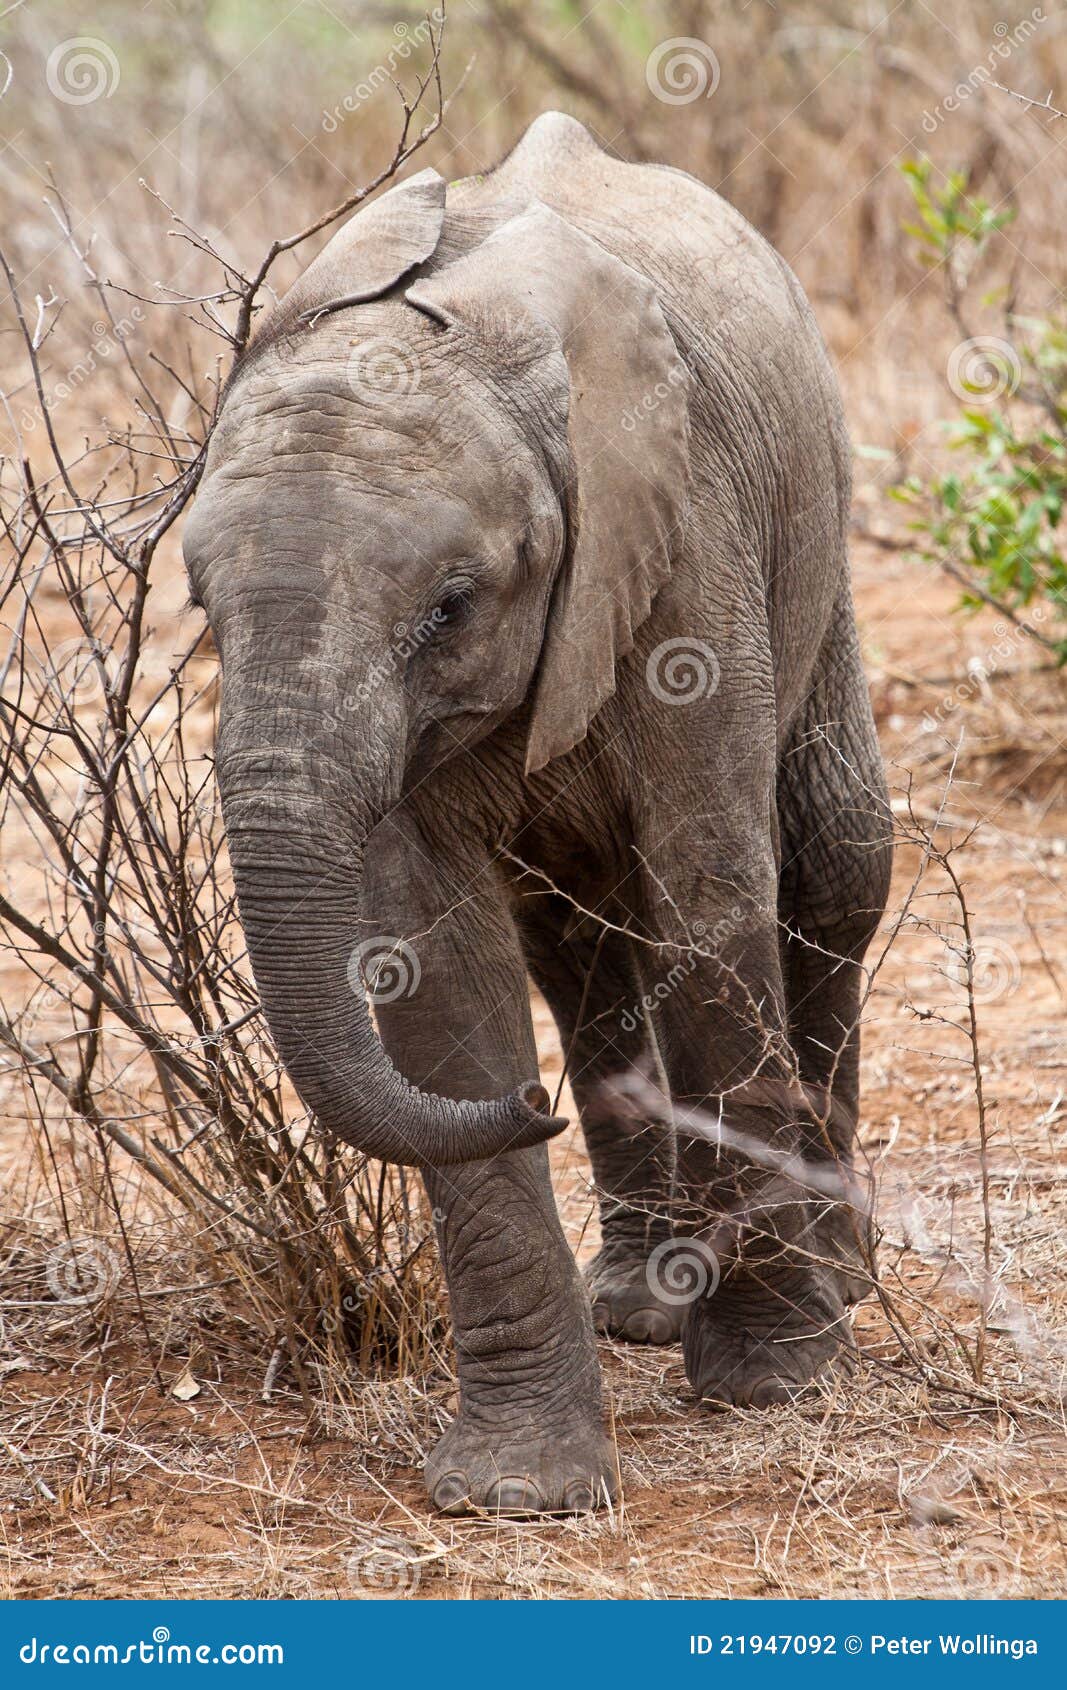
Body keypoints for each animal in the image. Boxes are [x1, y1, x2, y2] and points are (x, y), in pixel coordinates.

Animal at [182, 112, 893, 1517]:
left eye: (451, 605)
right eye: (198, 607)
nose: (539, 1108)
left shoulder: (685, 545)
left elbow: (708, 896)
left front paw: (773, 1376)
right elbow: (433, 964)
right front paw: (517, 1492)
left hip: (815, 536)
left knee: (833, 863)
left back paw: (836, 1272)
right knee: (575, 949)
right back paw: (641, 1301)